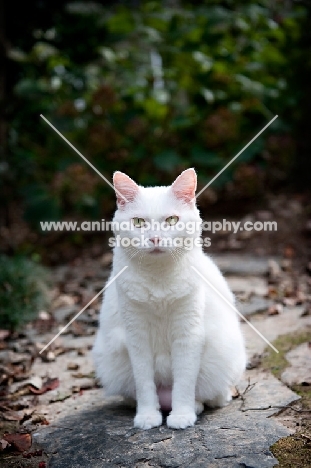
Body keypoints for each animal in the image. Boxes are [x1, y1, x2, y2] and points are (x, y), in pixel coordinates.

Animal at [92, 169, 246, 432]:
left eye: (172, 220)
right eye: (138, 222)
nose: (155, 239)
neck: (158, 277)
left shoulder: (188, 334)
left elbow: (184, 381)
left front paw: (182, 415)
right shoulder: (136, 336)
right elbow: (144, 383)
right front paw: (147, 416)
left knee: (210, 395)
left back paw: (197, 405)